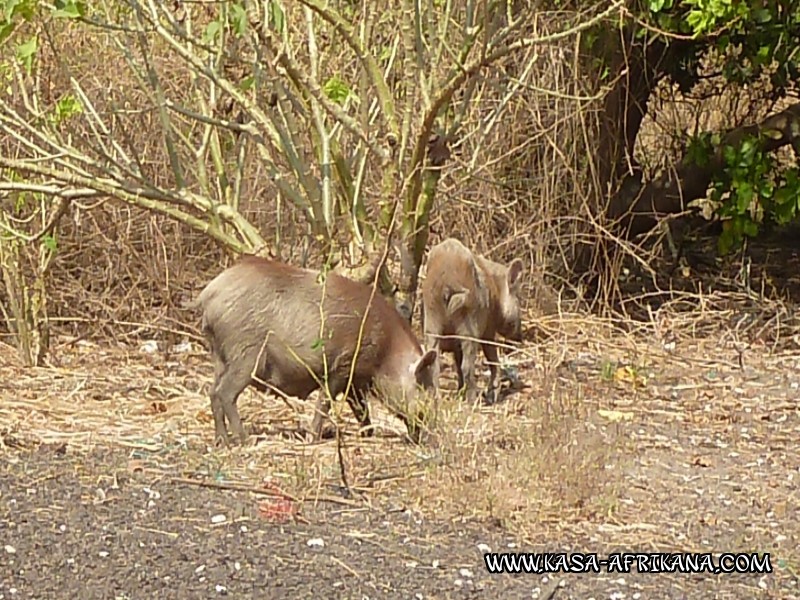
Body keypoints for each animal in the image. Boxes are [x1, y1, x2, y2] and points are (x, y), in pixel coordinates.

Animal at [192, 254, 438, 446]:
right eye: (422, 389)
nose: (431, 439)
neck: (387, 351)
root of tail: (208, 294)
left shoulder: (356, 379)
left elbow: (360, 408)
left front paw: (368, 434)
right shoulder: (342, 365)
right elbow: (326, 400)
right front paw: (313, 438)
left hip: (219, 355)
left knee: (213, 392)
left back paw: (221, 441)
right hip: (245, 352)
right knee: (225, 393)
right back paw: (245, 440)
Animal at [418, 238, 524, 404]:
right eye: (518, 299)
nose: (520, 337)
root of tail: (448, 282)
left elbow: (457, 360)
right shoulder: (488, 330)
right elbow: (492, 358)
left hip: (431, 320)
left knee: (434, 363)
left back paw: (438, 399)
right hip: (469, 327)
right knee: (467, 366)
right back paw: (473, 400)